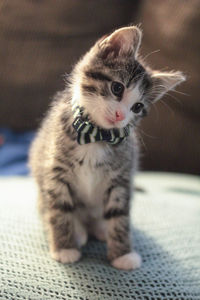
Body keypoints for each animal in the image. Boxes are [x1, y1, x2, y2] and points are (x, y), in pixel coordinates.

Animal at [28, 25, 185, 270]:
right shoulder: (55, 170)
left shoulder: (121, 177)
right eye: (117, 88)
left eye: (137, 107)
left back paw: (100, 228)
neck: (97, 135)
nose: (121, 115)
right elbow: (60, 210)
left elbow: (119, 215)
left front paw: (123, 254)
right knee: (47, 209)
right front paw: (64, 247)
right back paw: (79, 232)